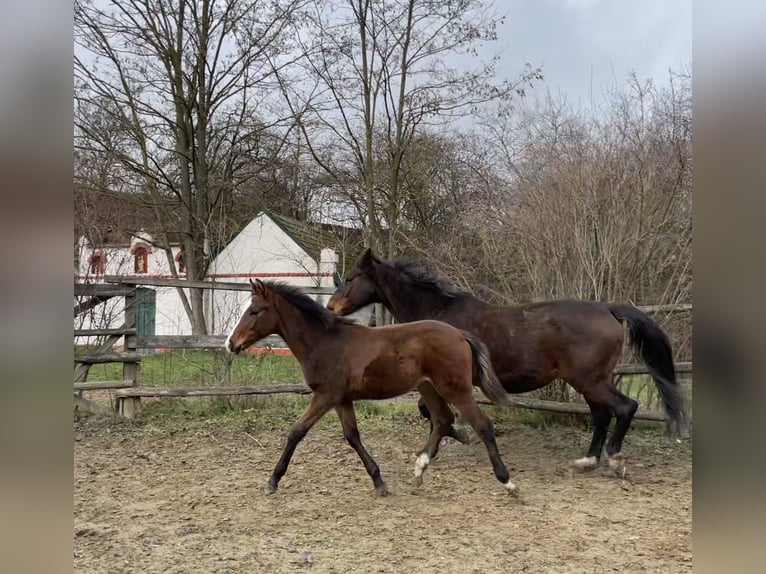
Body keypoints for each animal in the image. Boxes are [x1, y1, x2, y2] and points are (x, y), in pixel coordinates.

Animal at [225, 282, 520, 498]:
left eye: (255, 311)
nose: (231, 343)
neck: (323, 342)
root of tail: (459, 334)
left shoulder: (325, 396)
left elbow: (296, 432)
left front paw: (273, 480)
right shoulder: (341, 399)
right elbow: (352, 436)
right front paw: (379, 481)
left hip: (455, 389)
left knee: (482, 424)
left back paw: (507, 482)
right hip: (428, 387)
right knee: (443, 420)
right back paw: (419, 471)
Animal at [328, 251, 688, 472]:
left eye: (352, 277)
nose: (331, 307)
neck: (437, 314)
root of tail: (608, 309)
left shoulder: (445, 380)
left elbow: (430, 412)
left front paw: (451, 438)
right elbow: (429, 412)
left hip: (590, 379)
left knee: (625, 407)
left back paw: (613, 460)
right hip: (590, 381)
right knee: (602, 415)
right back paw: (587, 461)